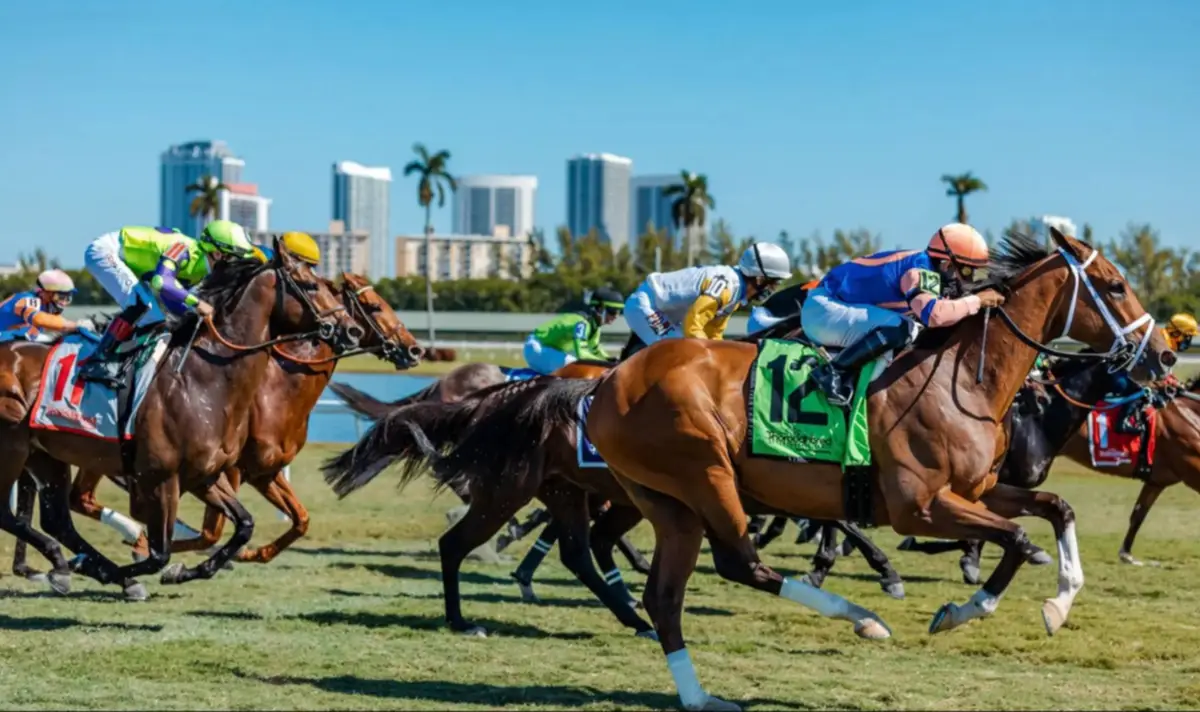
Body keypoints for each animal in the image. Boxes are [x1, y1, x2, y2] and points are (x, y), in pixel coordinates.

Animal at [0, 242, 356, 598]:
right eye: (312, 285)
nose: (350, 329)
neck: (203, 380)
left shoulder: (206, 475)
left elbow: (243, 525)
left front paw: (181, 572)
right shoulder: (161, 478)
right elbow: (160, 553)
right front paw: (116, 568)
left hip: (46, 454)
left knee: (57, 521)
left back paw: (67, 565)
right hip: (14, 449)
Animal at [469, 228, 1172, 711]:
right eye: (1114, 286)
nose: (1164, 356)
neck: (960, 377)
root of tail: (607, 380)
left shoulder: (977, 489)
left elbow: (1053, 511)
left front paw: (1057, 600)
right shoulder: (919, 504)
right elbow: (1018, 540)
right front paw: (966, 608)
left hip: (667, 502)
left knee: (664, 594)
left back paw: (697, 692)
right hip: (705, 475)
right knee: (737, 564)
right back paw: (860, 619)